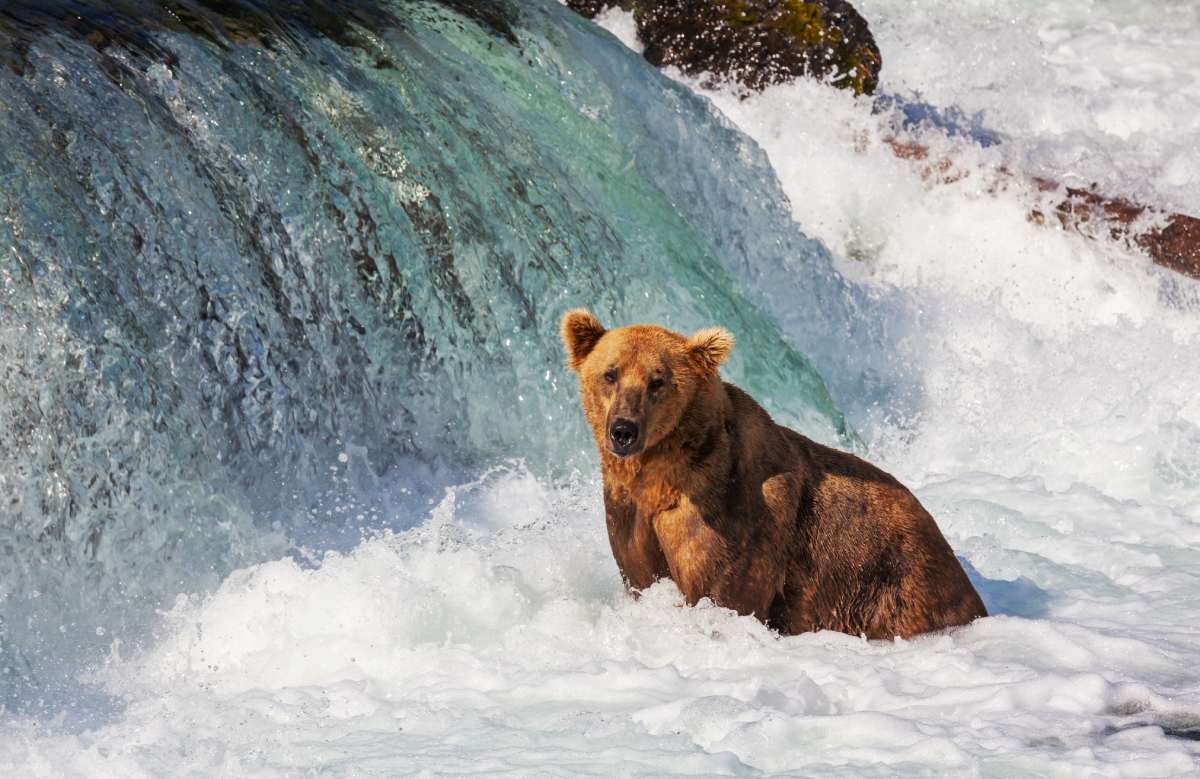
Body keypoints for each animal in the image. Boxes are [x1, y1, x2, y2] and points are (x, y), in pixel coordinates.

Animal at [561, 309, 987, 639]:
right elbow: (642, 575)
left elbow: (720, 593)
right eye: (610, 373)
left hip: (892, 585)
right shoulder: (629, 516)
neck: (661, 475)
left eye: (657, 381)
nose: (624, 430)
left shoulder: (735, 517)